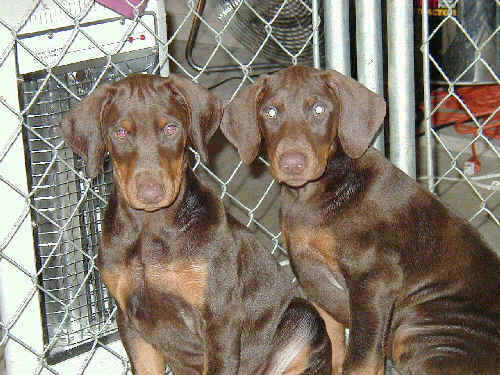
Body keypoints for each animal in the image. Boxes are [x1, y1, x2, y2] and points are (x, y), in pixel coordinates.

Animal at [58, 74, 332, 375]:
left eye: (171, 128)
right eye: (120, 132)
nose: (150, 192)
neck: (149, 228)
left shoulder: (219, 318)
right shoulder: (130, 321)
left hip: (303, 320)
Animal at [222, 66, 500, 375]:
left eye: (319, 109)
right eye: (270, 112)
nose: (293, 163)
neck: (315, 194)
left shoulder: (373, 282)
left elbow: (360, 361)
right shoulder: (315, 282)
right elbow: (332, 347)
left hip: (422, 330)